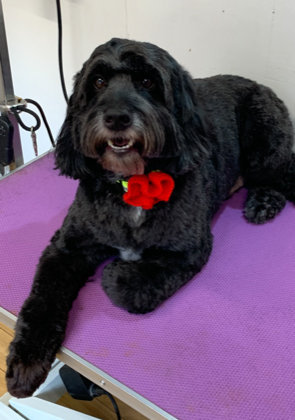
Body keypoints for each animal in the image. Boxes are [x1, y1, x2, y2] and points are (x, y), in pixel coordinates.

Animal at [5, 37, 294, 396]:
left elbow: (127, 285)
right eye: (97, 82)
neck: (132, 182)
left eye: (147, 81)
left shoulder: (186, 250)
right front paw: (26, 360)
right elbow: (42, 297)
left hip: (264, 139)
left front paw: (116, 270)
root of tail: (260, 84)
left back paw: (264, 201)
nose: (116, 117)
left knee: (281, 175)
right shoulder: (67, 246)